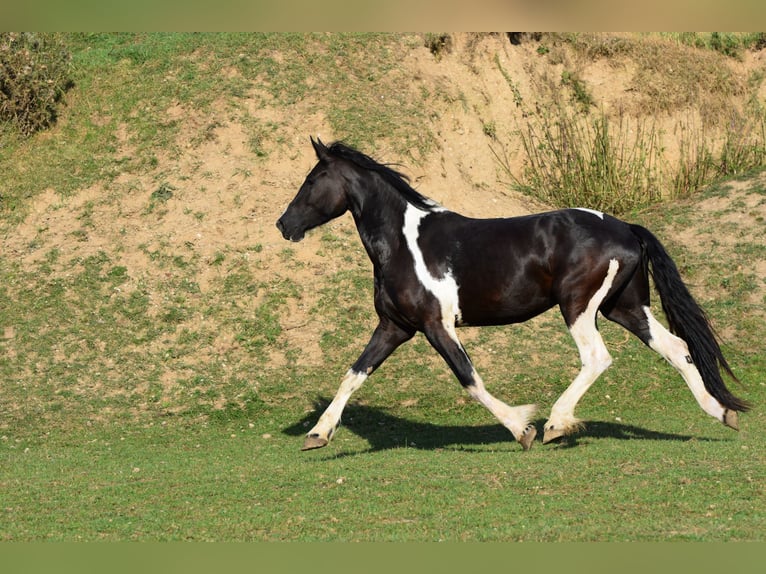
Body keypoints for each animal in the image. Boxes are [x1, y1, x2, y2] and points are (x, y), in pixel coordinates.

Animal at [276, 137, 752, 452]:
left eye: (314, 179)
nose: (284, 224)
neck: (404, 242)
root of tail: (624, 227)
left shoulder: (435, 325)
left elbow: (470, 379)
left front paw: (522, 429)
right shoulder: (394, 327)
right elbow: (354, 373)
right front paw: (318, 433)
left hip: (579, 307)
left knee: (598, 358)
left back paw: (556, 424)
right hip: (626, 307)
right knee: (676, 346)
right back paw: (720, 413)